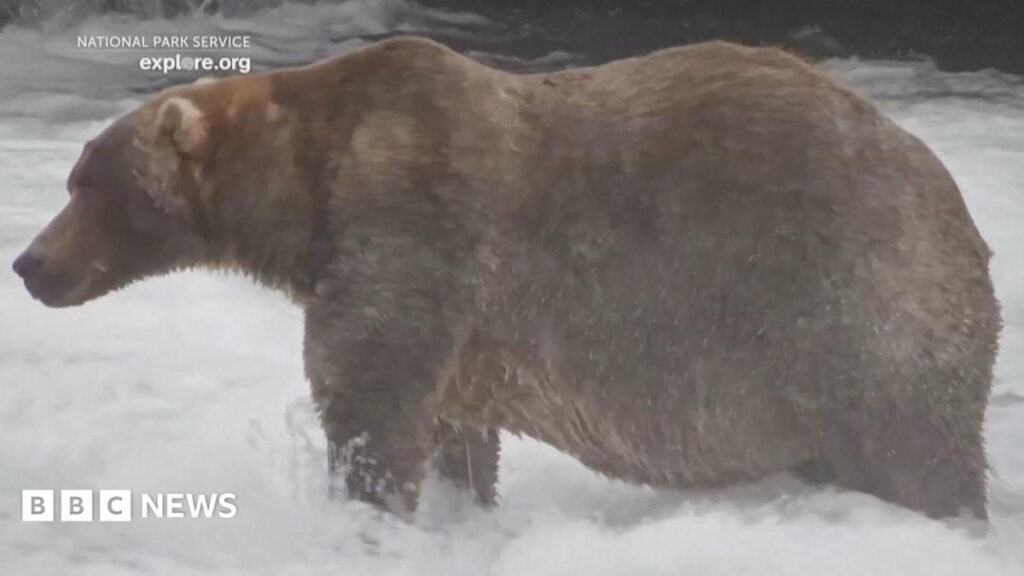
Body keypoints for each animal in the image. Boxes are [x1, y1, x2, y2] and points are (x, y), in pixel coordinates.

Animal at [12, 36, 1000, 520]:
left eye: (85, 182)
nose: (27, 263)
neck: (303, 194)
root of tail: (959, 207)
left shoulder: (412, 227)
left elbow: (369, 402)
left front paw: (366, 511)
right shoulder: (456, 325)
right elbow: (452, 430)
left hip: (853, 307)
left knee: (918, 454)